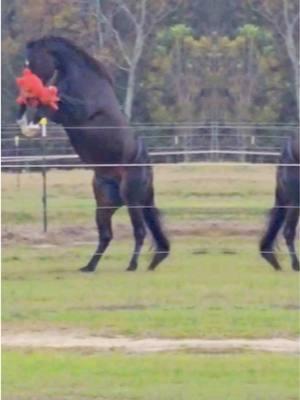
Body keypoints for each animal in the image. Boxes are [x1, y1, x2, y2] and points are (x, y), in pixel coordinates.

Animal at [17, 36, 170, 272]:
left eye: (31, 62)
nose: (27, 88)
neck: (83, 79)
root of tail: (147, 169)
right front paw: (26, 122)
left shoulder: (77, 112)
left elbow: (50, 106)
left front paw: (29, 125)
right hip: (105, 202)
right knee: (106, 235)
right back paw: (89, 267)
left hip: (131, 197)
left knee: (139, 231)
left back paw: (132, 265)